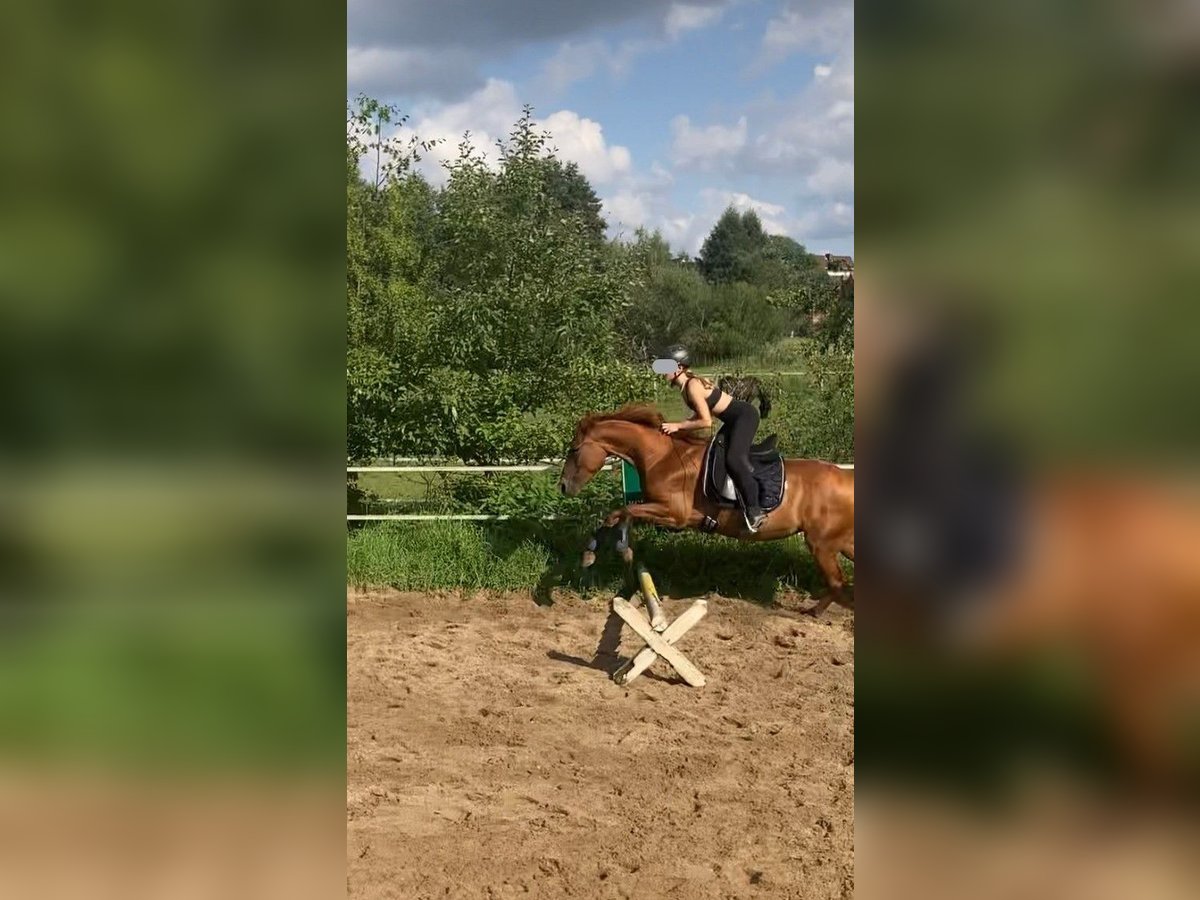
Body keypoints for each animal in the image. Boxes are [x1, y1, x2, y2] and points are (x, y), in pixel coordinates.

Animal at [559, 408, 854, 614]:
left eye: (574, 449)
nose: (563, 487)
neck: (662, 458)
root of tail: (848, 479)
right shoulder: (667, 512)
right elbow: (618, 514)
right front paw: (593, 553)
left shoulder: (674, 514)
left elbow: (620, 512)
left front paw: (618, 548)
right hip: (841, 543)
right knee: (840, 584)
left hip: (821, 545)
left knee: (837, 584)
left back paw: (815, 612)